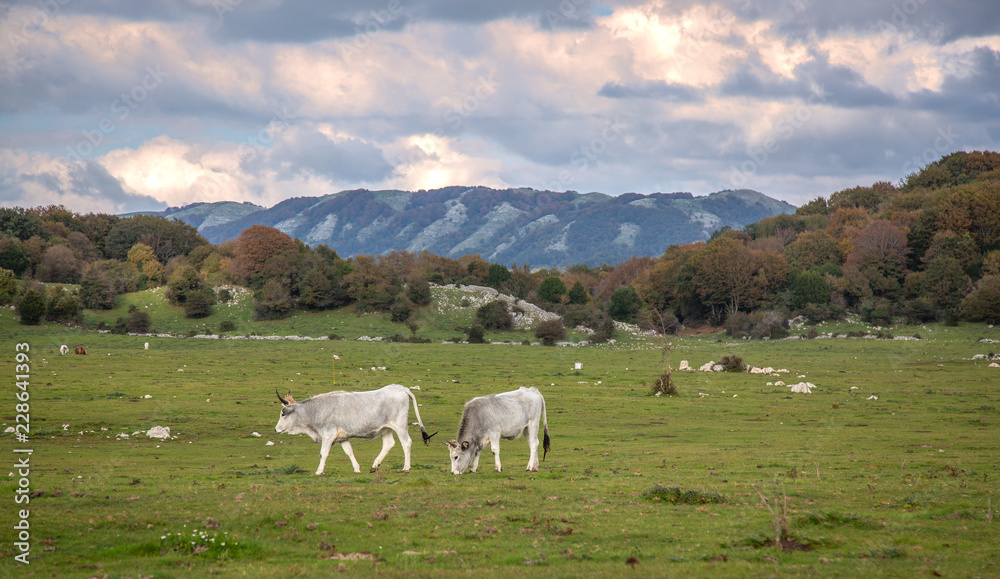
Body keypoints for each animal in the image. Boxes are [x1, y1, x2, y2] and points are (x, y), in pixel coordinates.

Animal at [274, 386, 434, 476]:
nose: (276, 429)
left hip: (400, 426)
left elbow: (323, 453)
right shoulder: (342, 437)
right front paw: (357, 468)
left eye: (283, 413)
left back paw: (406, 468)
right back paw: (374, 466)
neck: (315, 410)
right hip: (385, 429)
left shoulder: (328, 435)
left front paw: (319, 471)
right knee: (389, 444)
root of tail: (400, 388)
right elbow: (349, 452)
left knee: (406, 443)